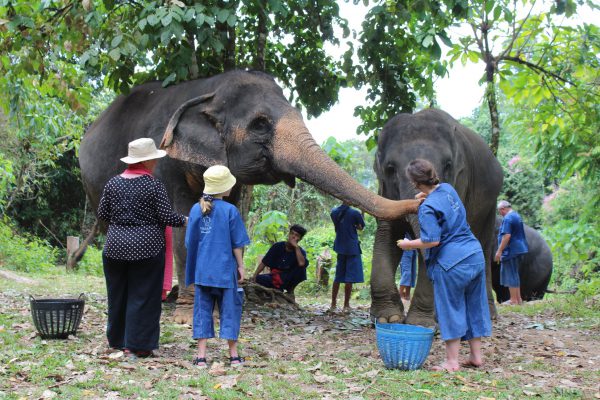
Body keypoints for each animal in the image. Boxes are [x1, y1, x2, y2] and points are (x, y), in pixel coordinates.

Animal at [78, 70, 422, 324]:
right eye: (259, 124)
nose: (419, 198)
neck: (208, 89)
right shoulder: (166, 158)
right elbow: (182, 218)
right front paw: (188, 316)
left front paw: (220, 303)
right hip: (94, 184)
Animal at [372, 108, 504, 324]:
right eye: (390, 168)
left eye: (448, 164)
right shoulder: (384, 190)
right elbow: (387, 233)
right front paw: (389, 318)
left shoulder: (461, 181)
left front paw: (419, 324)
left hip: (490, 205)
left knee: (483, 246)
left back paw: (488, 315)